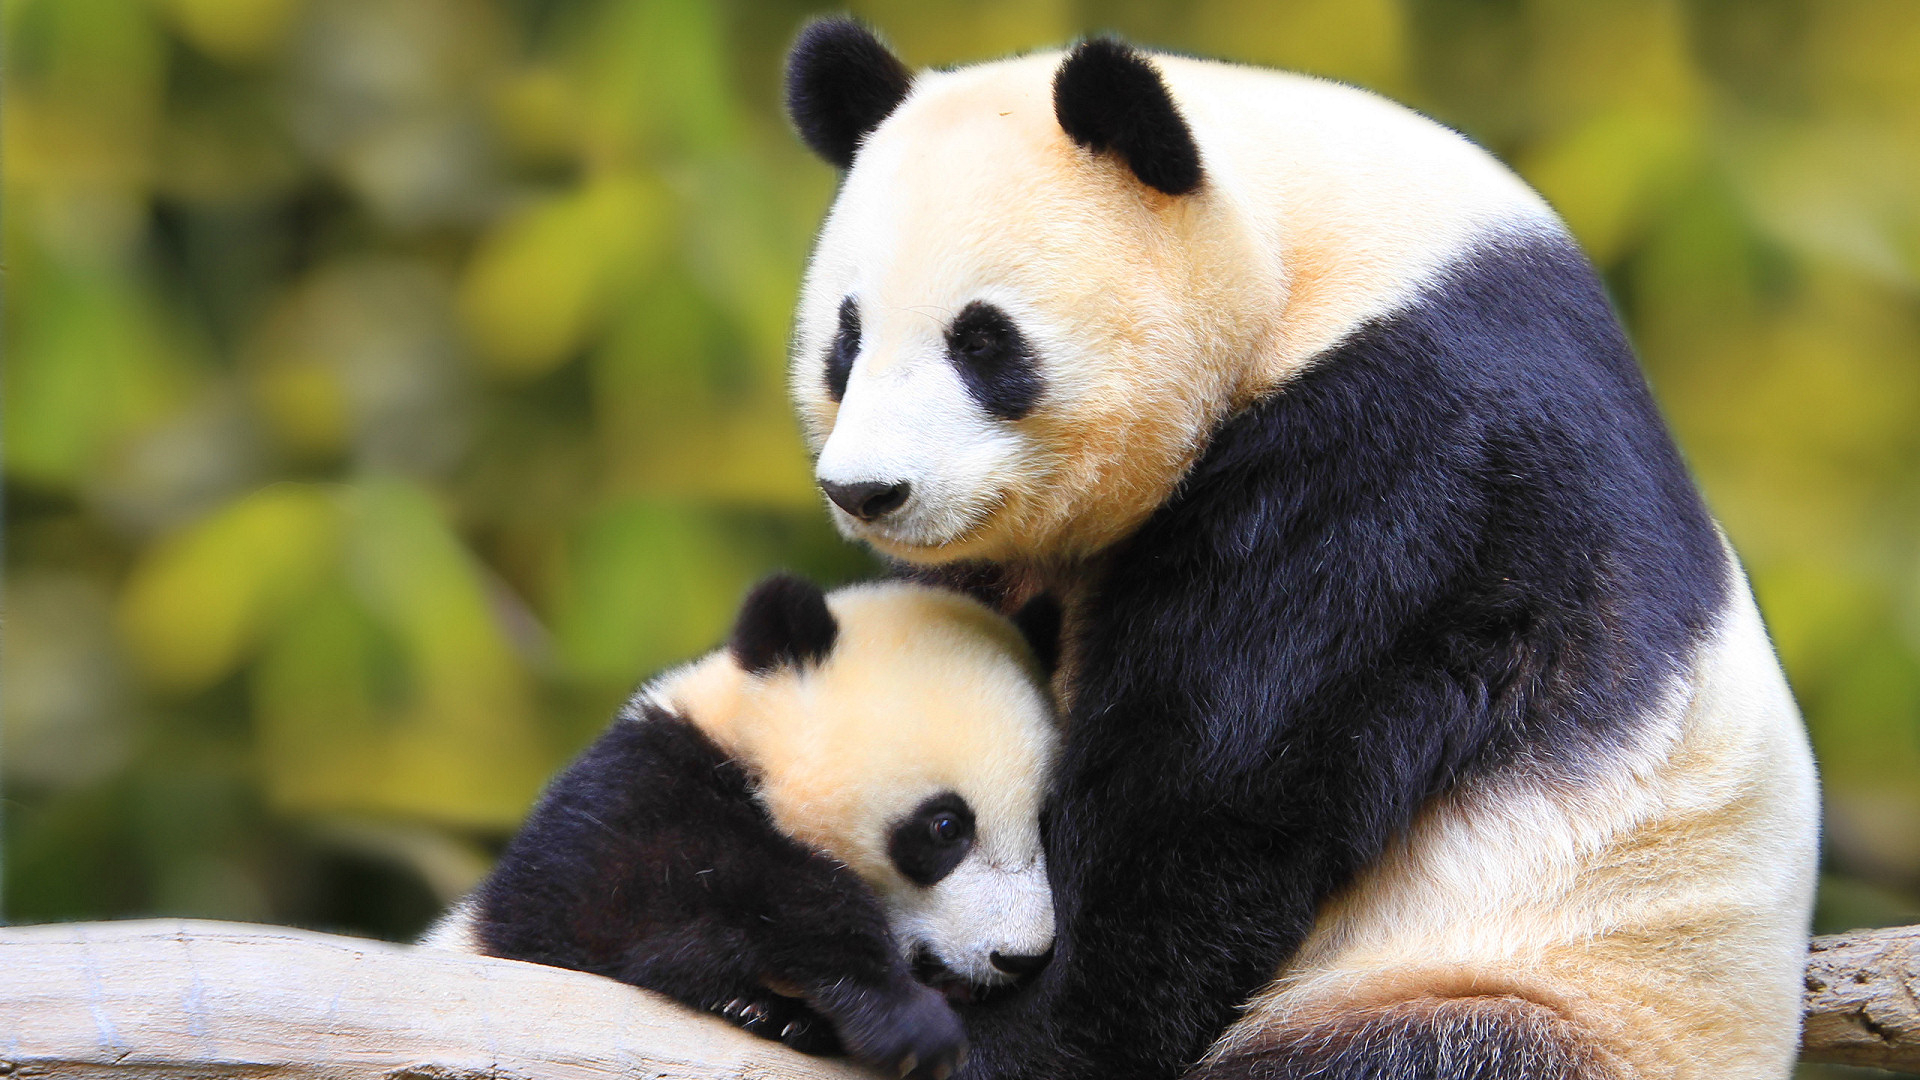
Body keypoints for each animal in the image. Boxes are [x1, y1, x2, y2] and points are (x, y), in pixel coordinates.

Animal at [424, 572, 1067, 1076]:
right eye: (945, 828)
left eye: (1043, 820)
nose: (1022, 957)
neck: (748, 750)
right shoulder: (624, 800)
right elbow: (630, 906)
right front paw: (902, 1017)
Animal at [775, 18, 1812, 1080]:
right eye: (846, 341)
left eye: (983, 343)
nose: (868, 490)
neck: (1309, 253)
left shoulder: (1403, 452)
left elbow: (1210, 791)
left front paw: (985, 1032)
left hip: (1536, 989)